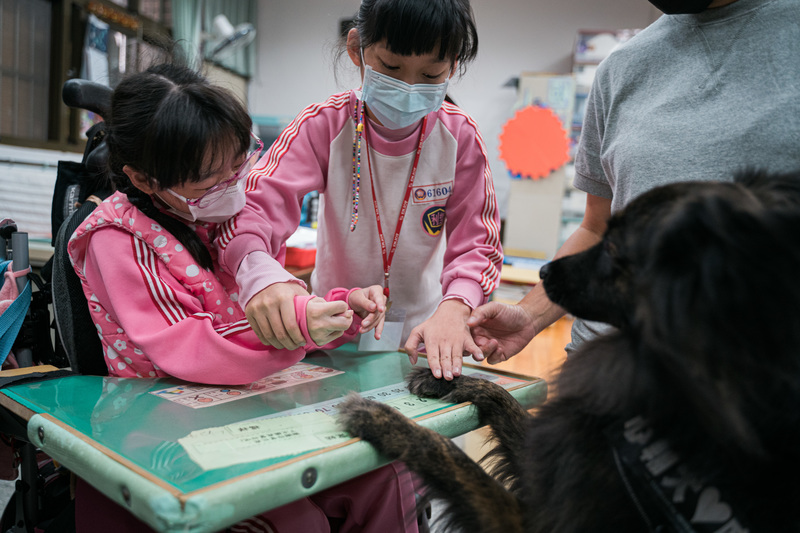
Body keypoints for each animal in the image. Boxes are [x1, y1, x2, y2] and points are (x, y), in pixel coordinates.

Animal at [336, 171, 800, 532]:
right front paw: (447, 380)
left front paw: (384, 419)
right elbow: (503, 400)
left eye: (613, 247)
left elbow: (449, 457)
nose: (541, 270)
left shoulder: (538, 517)